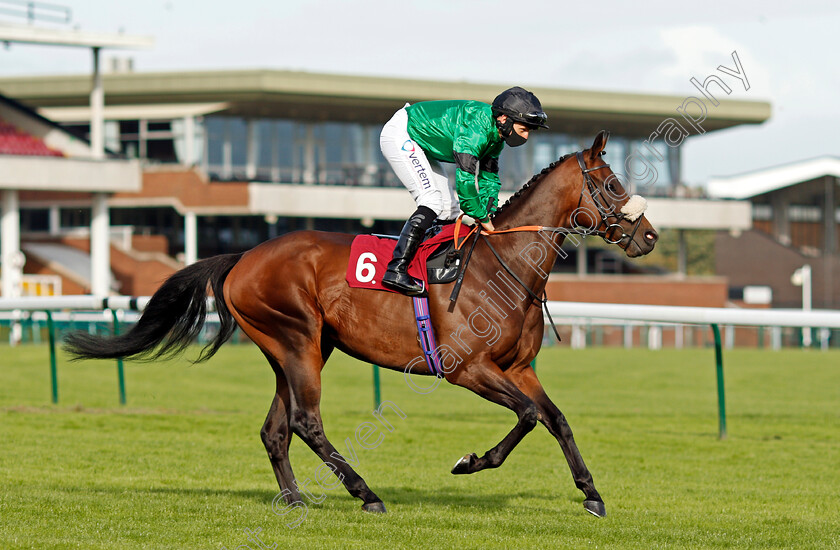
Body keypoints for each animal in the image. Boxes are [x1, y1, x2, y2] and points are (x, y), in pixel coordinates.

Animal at [64, 132, 656, 520]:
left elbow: (557, 419)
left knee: (276, 428)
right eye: (610, 183)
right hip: (297, 339)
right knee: (306, 422)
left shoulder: (519, 368)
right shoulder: (468, 368)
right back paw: (365, 493)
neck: (502, 264)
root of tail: (243, 257)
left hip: (296, 350)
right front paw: (469, 462)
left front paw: (590, 492)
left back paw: (295, 498)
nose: (648, 236)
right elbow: (530, 416)